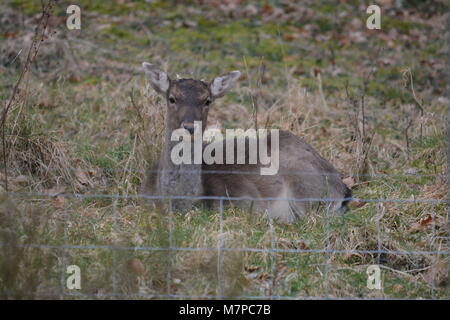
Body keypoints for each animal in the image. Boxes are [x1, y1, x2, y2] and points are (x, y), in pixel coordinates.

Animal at [141, 62, 352, 222]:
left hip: (305, 187)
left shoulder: (245, 200)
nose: (189, 127)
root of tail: (342, 186)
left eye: (207, 100)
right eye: (172, 98)